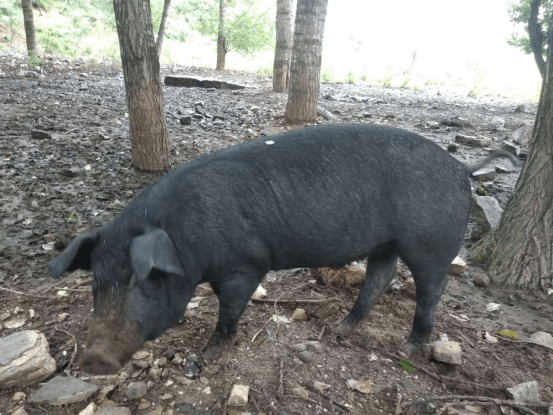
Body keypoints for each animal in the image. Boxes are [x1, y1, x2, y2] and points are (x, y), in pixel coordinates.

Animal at [48, 122, 516, 374]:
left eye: (141, 281)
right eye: (97, 285)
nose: (94, 359)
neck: (182, 236)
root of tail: (461, 166)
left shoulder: (245, 266)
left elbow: (228, 312)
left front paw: (206, 355)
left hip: (430, 241)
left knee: (430, 289)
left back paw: (410, 347)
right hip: (386, 242)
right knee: (379, 278)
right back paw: (340, 330)